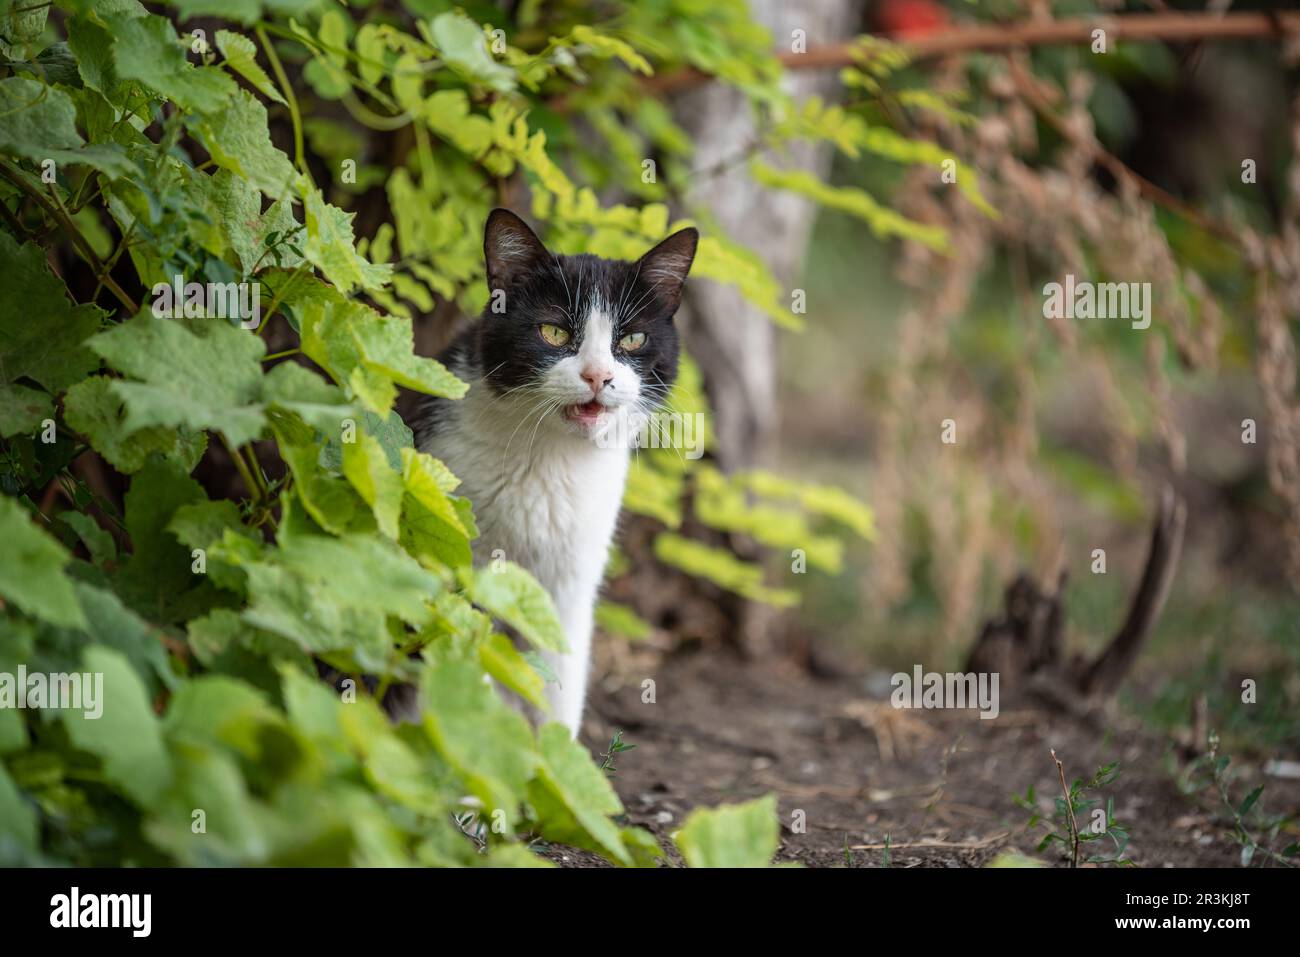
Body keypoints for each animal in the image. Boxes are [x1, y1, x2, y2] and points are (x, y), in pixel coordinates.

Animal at [418, 208, 702, 733]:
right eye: (554, 333)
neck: (552, 457)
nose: (598, 375)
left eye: (632, 338)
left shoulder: (571, 585)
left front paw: (555, 753)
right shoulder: (457, 545)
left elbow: (561, 678)